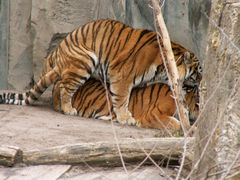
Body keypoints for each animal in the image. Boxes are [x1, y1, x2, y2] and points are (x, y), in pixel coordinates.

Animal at [0, 18, 199, 125]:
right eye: (198, 71)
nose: (201, 83)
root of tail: (59, 52)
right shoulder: (122, 76)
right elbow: (122, 98)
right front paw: (125, 117)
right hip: (84, 61)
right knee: (65, 88)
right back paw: (68, 109)